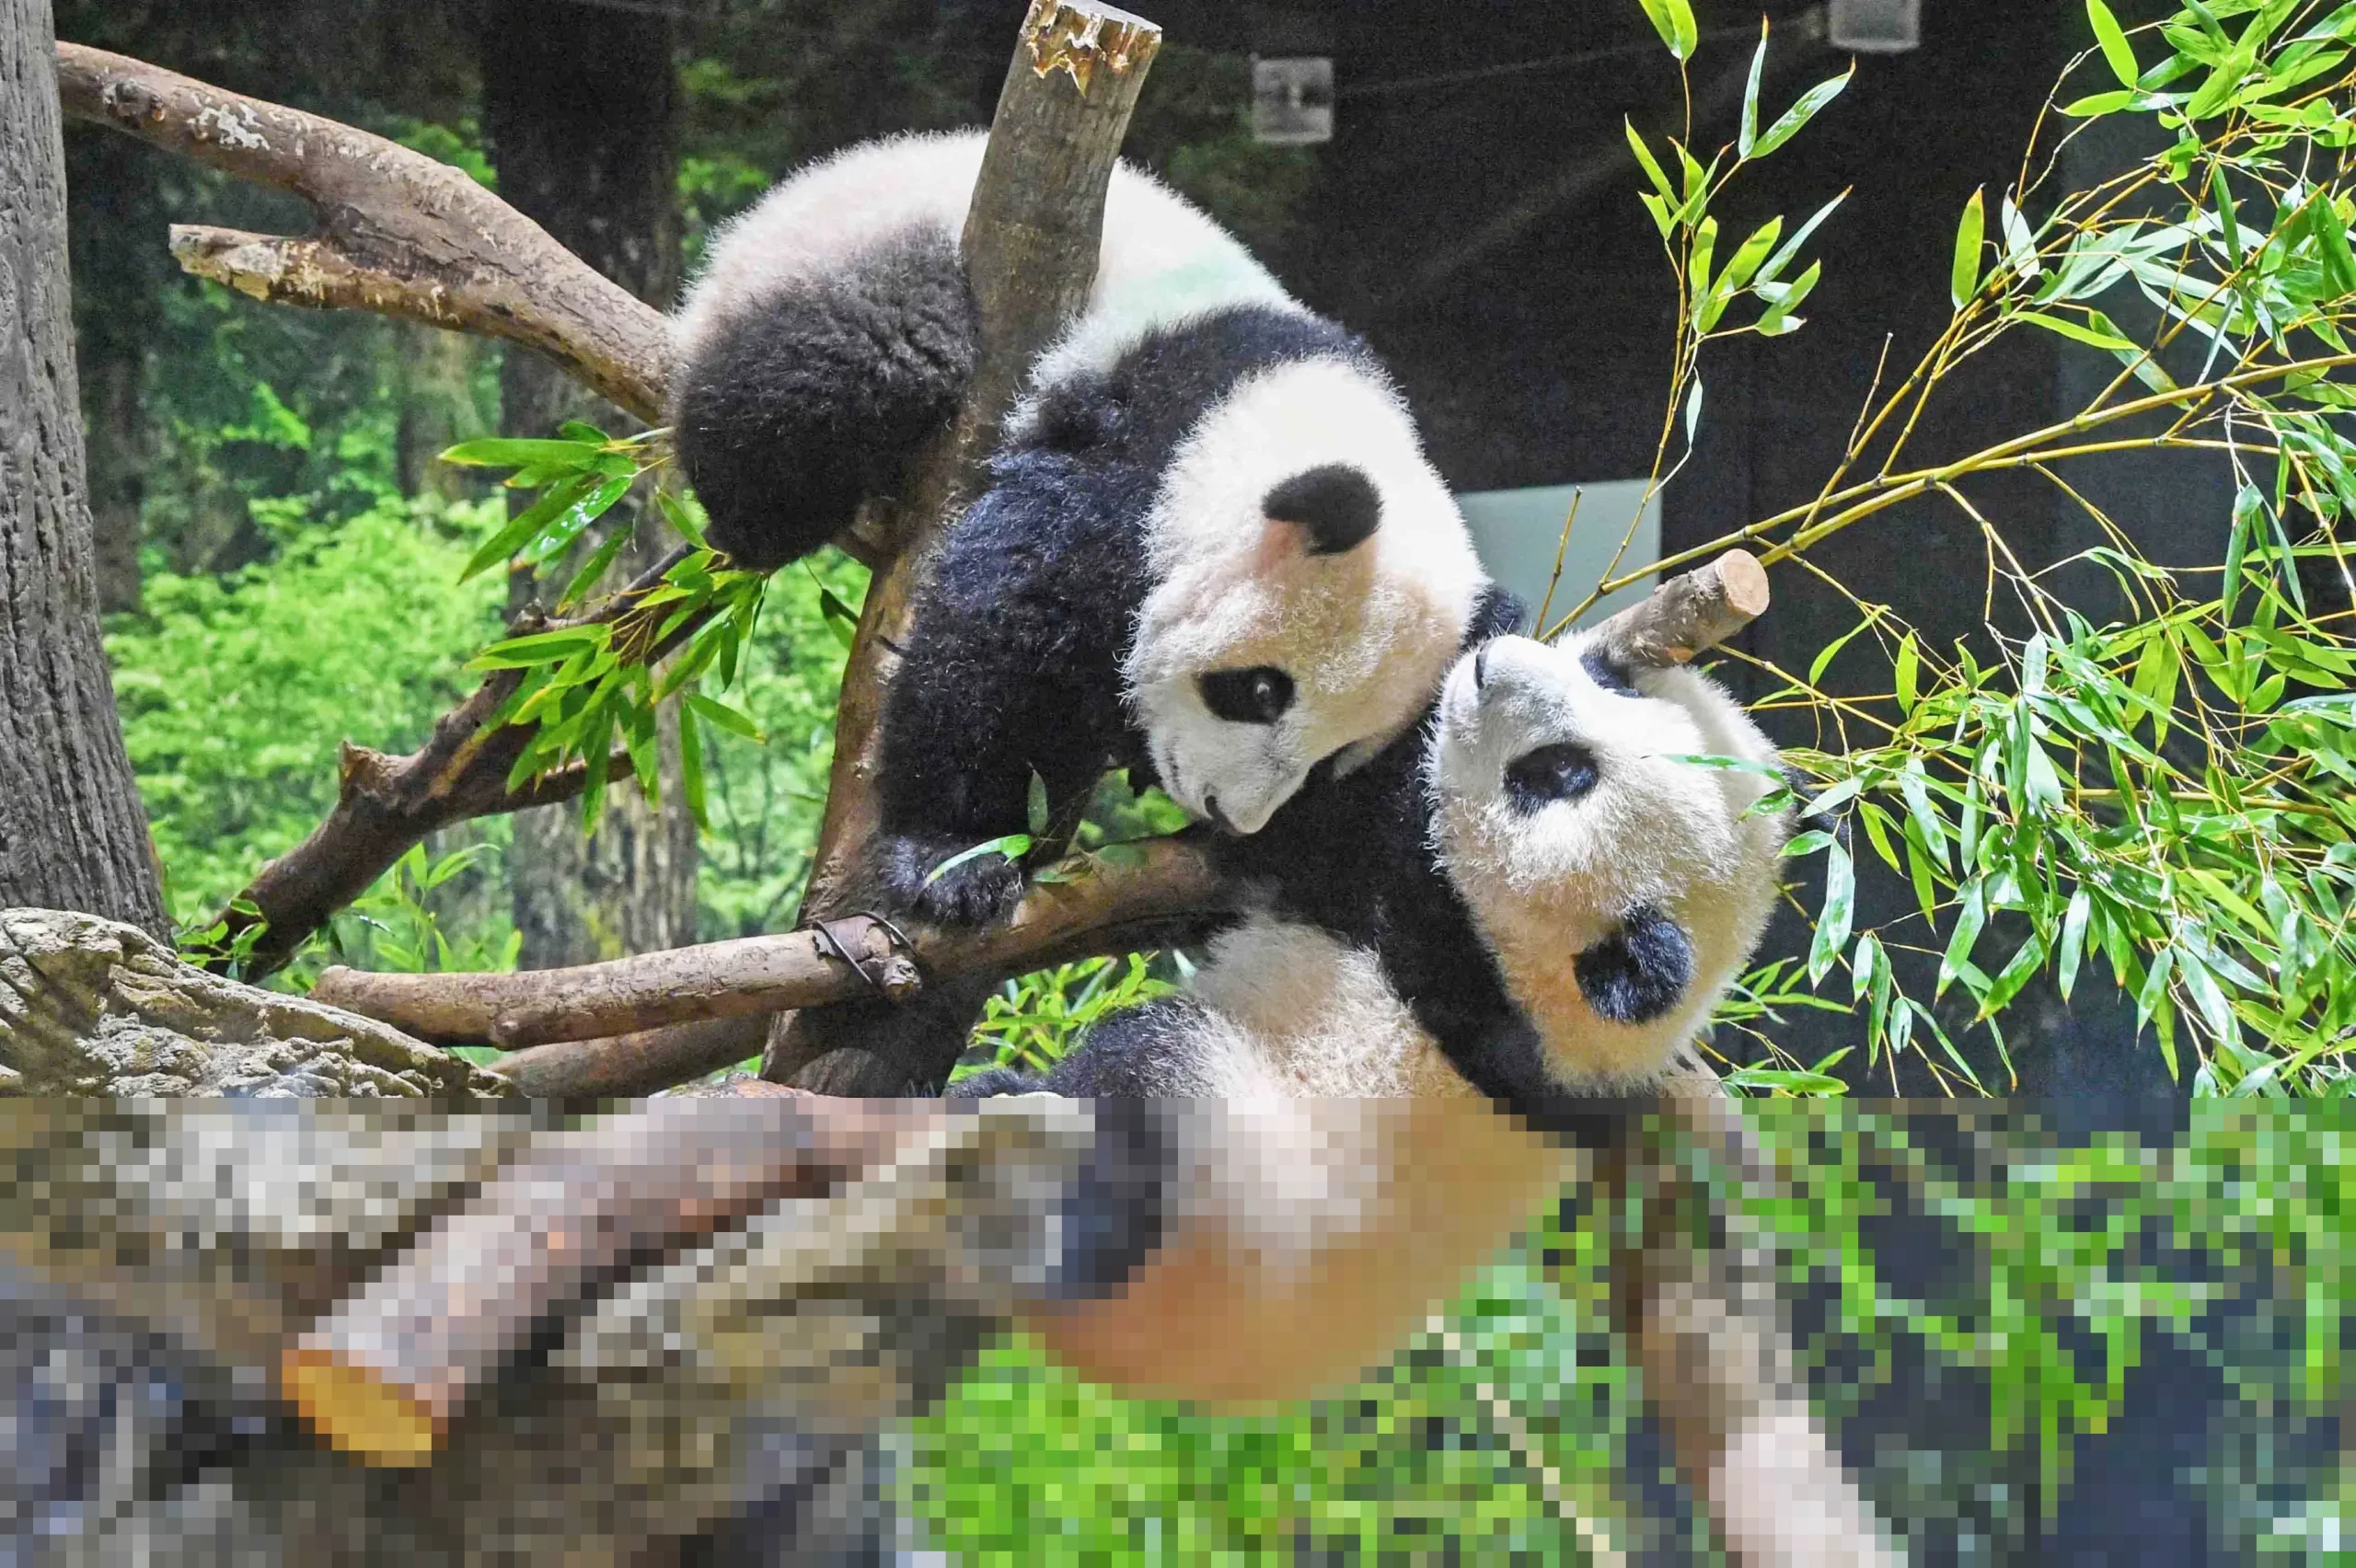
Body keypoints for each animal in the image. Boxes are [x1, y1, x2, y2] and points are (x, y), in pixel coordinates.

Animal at [670, 132, 1489, 923]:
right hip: (857, 255)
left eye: (1330, 761)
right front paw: (956, 857)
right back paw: (763, 520)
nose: (1228, 811)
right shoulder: (1145, 447)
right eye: (1260, 691)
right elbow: (1002, 619)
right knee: (850, 365)